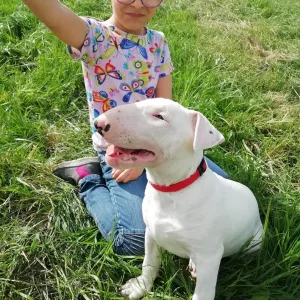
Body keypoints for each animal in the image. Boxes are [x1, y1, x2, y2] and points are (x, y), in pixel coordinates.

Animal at [94, 99, 262, 300]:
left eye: (160, 117)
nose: (98, 123)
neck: (171, 191)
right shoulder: (150, 234)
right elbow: (149, 263)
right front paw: (140, 287)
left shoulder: (209, 257)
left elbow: (203, 293)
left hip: (253, 243)